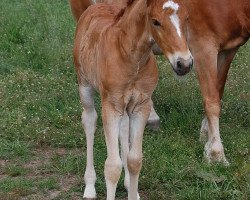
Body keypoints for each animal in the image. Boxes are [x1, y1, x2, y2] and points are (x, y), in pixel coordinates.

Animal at [73, 0, 192, 198]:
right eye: (155, 21)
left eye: (186, 18)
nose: (184, 64)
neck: (131, 58)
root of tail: (96, 6)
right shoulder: (111, 106)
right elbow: (112, 166)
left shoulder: (140, 106)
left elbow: (135, 160)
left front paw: (133, 188)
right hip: (85, 85)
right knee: (89, 120)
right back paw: (89, 186)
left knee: (124, 127)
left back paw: (129, 184)